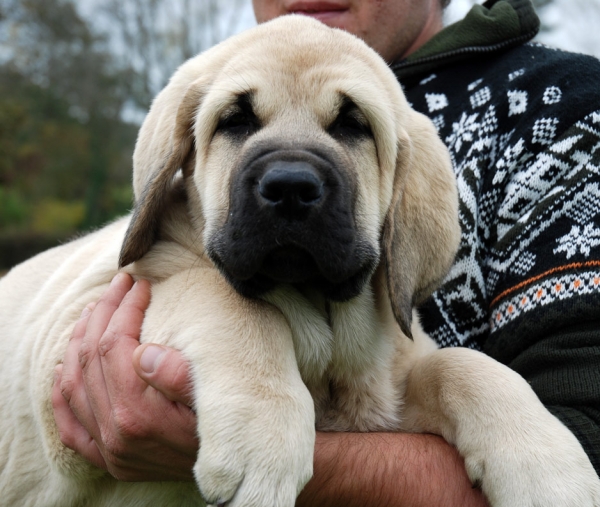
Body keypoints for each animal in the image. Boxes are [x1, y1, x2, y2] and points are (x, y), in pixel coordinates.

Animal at [1, 14, 600, 507]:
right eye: (235, 120)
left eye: (353, 125)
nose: (289, 188)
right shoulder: (69, 350)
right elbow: (225, 298)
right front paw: (262, 434)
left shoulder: (388, 388)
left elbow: (467, 366)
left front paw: (548, 466)